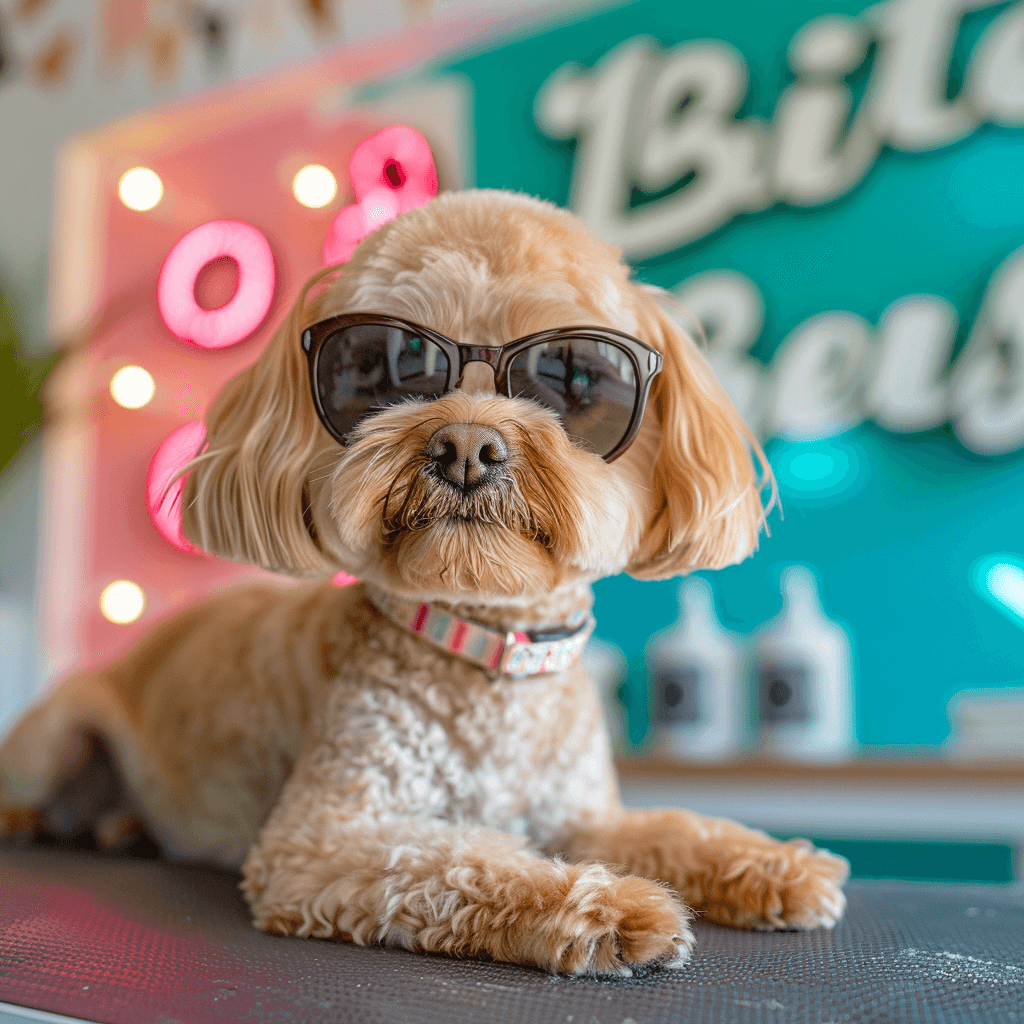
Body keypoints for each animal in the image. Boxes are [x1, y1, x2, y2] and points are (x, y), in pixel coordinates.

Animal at [0, 190, 847, 974]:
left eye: (574, 378)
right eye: (383, 368)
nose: (466, 446)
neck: (488, 652)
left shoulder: (580, 815)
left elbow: (673, 827)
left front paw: (772, 863)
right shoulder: (323, 837)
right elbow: (467, 862)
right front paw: (607, 907)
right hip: (55, 738)